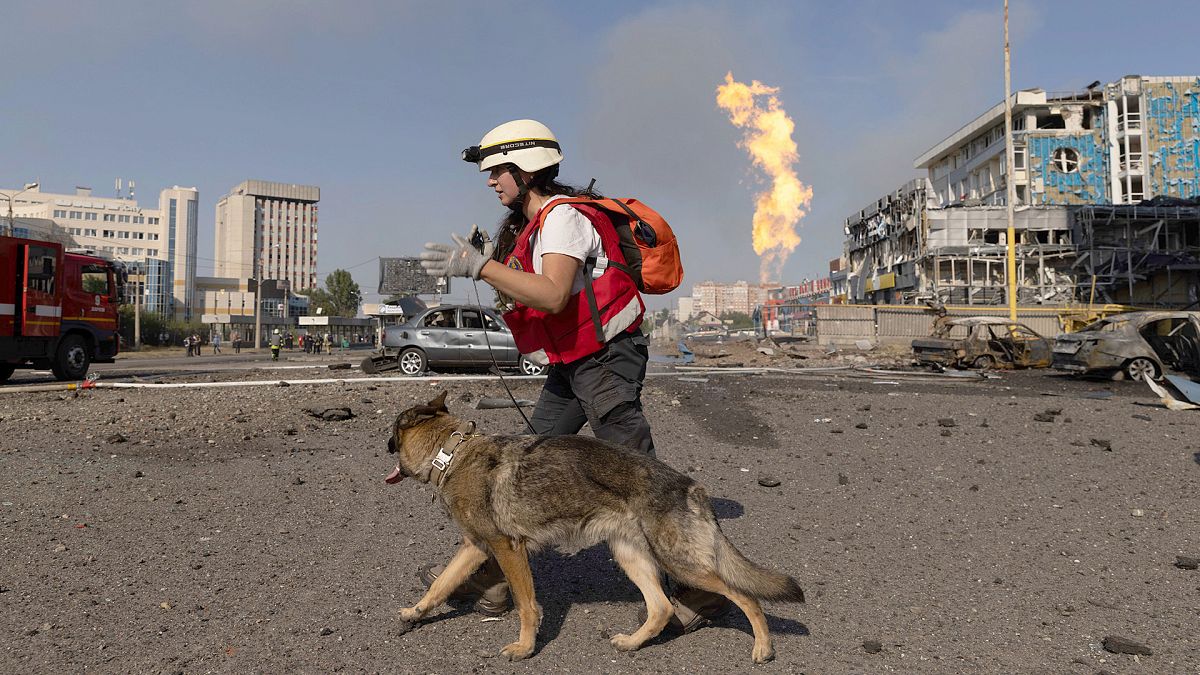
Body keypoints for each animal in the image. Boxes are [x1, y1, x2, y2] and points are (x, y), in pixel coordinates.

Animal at [386, 391, 806, 658]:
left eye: (392, 435)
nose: (384, 447)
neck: (452, 452)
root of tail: (692, 487)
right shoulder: (476, 547)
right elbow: (440, 585)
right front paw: (415, 613)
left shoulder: (509, 549)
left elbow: (527, 606)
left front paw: (525, 648)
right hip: (630, 556)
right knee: (660, 608)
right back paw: (633, 644)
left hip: (679, 562)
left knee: (746, 597)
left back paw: (763, 647)